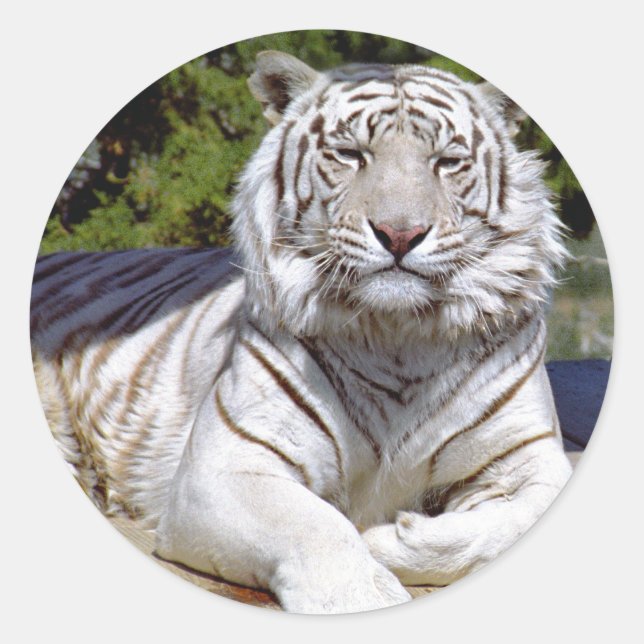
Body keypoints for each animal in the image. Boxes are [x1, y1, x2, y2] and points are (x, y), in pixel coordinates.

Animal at [31, 50, 573, 614]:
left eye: (446, 162)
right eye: (350, 154)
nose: (400, 233)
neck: (398, 336)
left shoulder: (530, 456)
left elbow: (511, 526)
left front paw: (392, 537)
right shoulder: (226, 465)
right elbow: (317, 529)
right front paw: (366, 577)